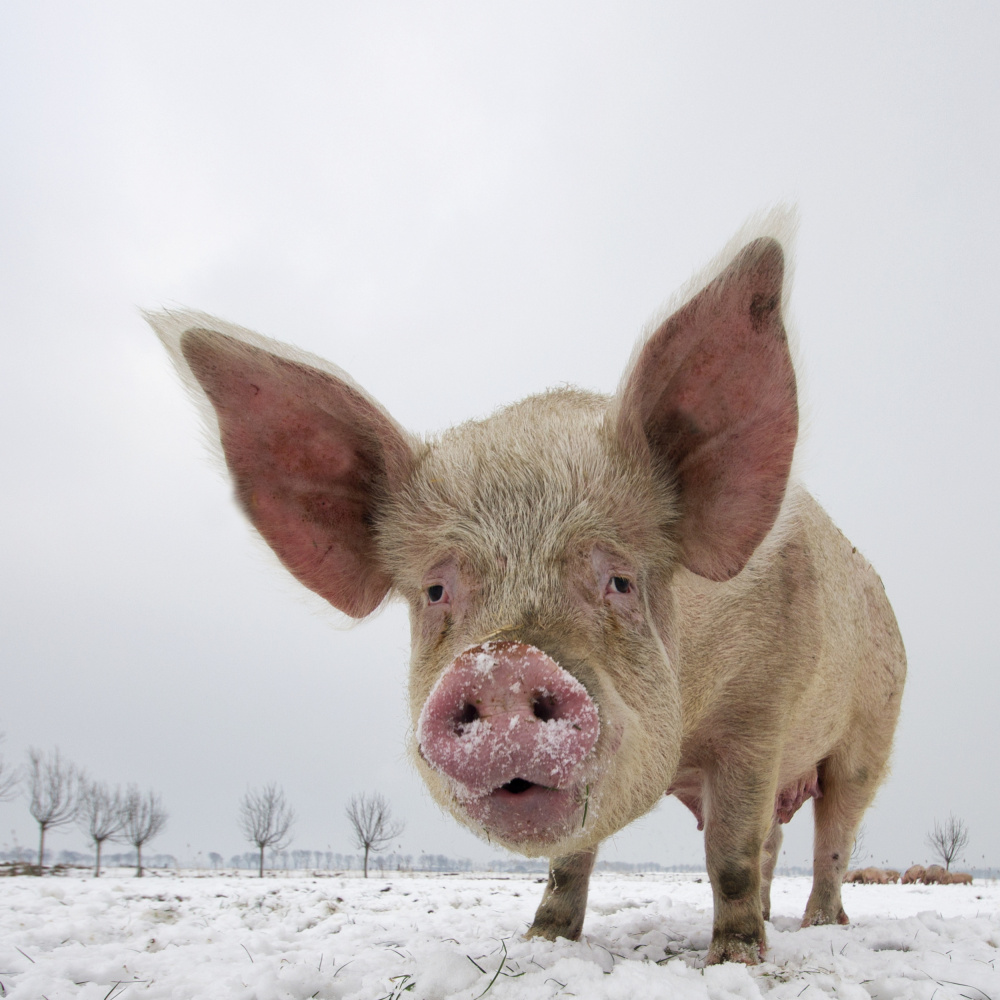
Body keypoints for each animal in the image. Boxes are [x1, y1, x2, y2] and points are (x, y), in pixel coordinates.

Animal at [148, 213, 908, 968]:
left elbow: (730, 851)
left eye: (620, 581)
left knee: (830, 836)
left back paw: (816, 926)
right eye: (435, 590)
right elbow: (573, 856)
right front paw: (542, 938)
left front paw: (734, 962)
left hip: (870, 735)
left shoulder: (759, 713)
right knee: (782, 837)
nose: (504, 665)